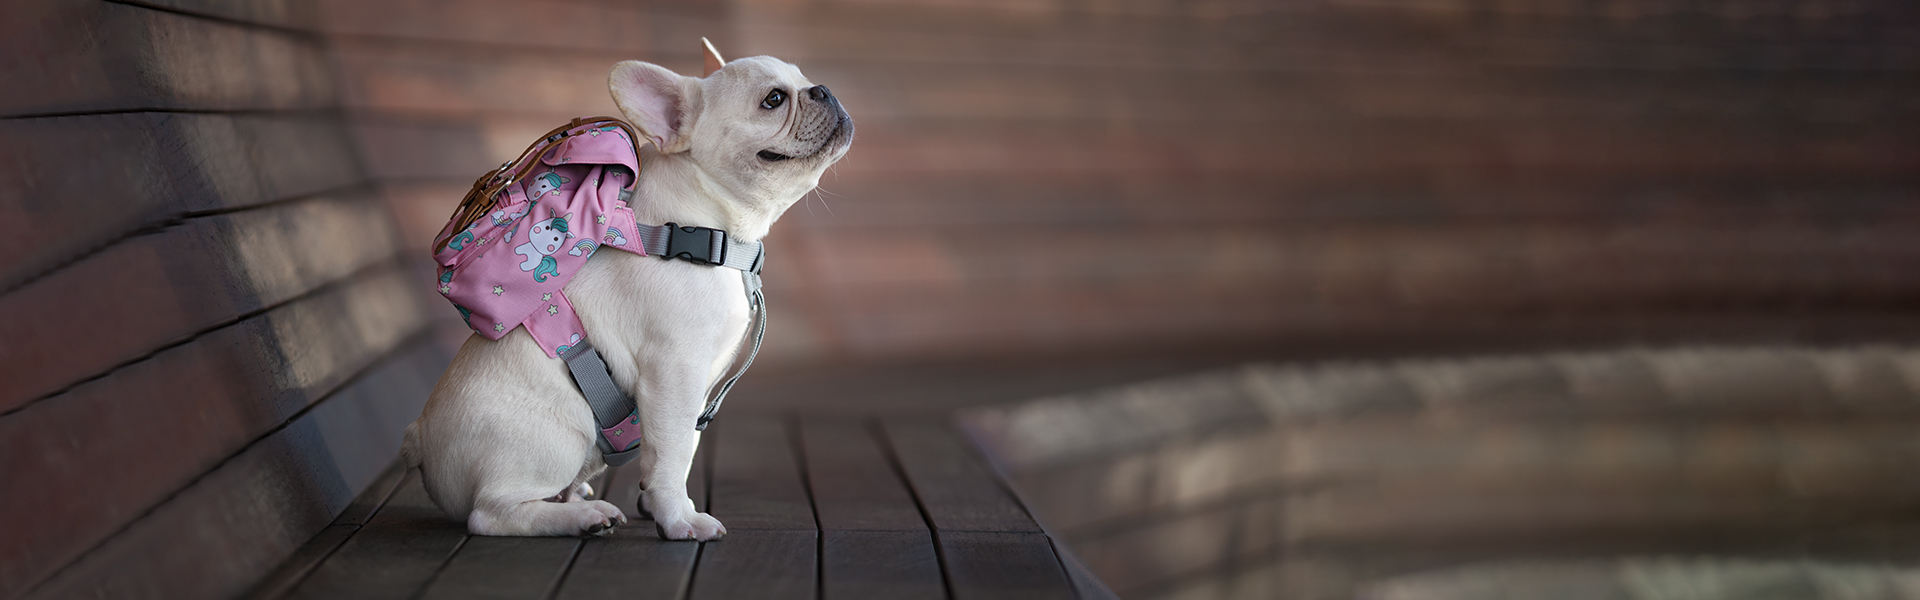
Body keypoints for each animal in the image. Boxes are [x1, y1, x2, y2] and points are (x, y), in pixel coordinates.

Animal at [401, 46, 852, 542]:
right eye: (773, 99)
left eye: (804, 80)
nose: (823, 90)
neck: (696, 229)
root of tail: (418, 438)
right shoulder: (674, 371)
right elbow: (673, 453)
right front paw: (679, 518)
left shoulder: (696, 388)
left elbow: (680, 449)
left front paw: (659, 505)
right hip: (562, 437)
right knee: (490, 513)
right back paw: (581, 517)